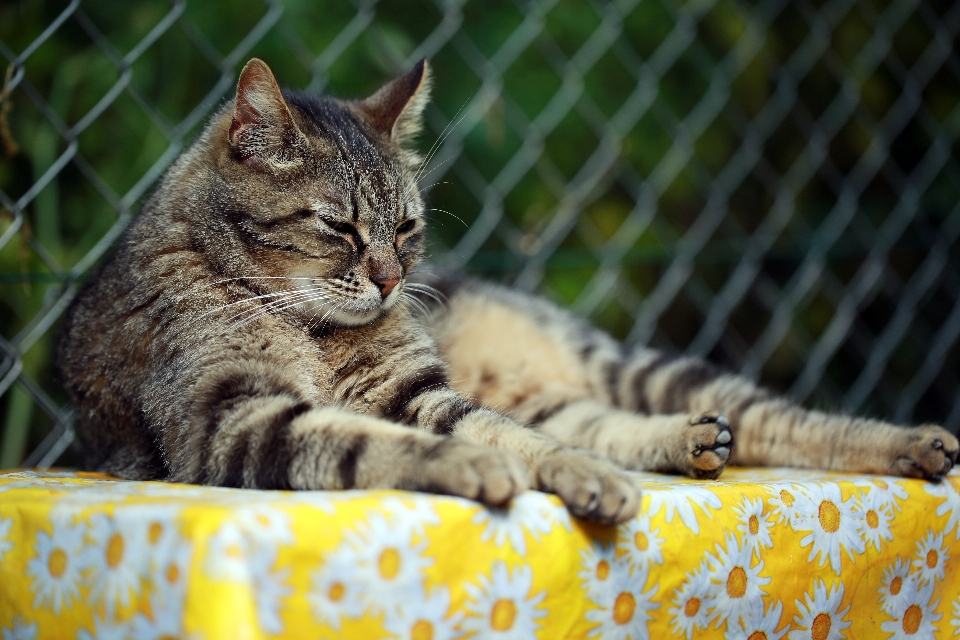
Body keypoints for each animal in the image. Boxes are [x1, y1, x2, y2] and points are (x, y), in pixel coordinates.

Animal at [56, 57, 956, 524]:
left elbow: (509, 438)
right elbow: (365, 440)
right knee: (612, 428)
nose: (393, 281)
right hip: (567, 392)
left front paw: (562, 474)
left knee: (775, 419)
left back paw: (910, 444)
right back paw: (688, 443)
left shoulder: (418, 393)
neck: (313, 327)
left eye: (406, 228)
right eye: (340, 228)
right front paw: (474, 469)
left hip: (631, 366)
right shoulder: (231, 419)